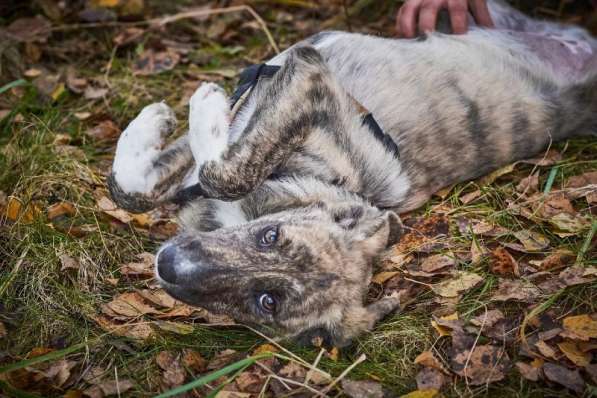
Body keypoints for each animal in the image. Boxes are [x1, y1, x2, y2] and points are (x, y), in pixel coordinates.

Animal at [108, 0, 596, 346]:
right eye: (270, 235)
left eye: (266, 301)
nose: (168, 264)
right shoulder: (293, 84)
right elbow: (133, 188)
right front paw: (154, 122)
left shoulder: (306, 81)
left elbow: (222, 172)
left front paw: (199, 106)